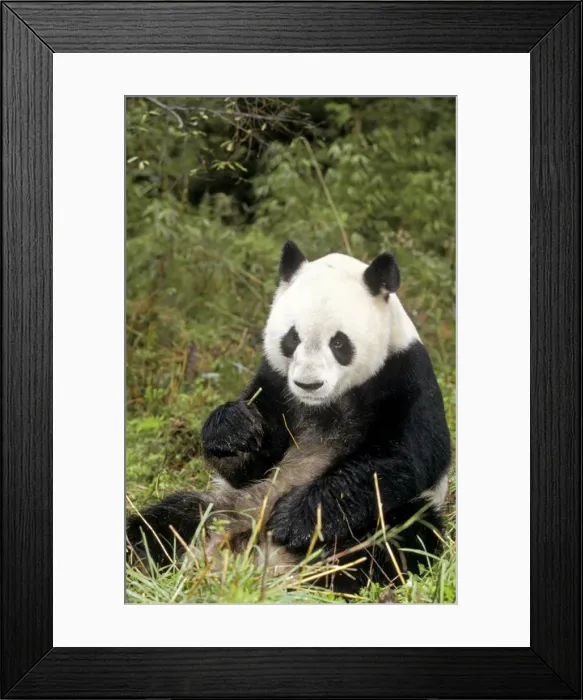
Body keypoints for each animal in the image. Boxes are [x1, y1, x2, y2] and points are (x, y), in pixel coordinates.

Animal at [126, 241, 451, 594]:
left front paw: (296, 520)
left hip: (387, 518)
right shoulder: (275, 383)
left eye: (339, 342)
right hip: (225, 506)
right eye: (292, 338)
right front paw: (233, 432)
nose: (308, 384)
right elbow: (250, 462)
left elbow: (398, 459)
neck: (325, 403)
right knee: (168, 519)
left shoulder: (405, 377)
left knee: (398, 537)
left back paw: (329, 576)